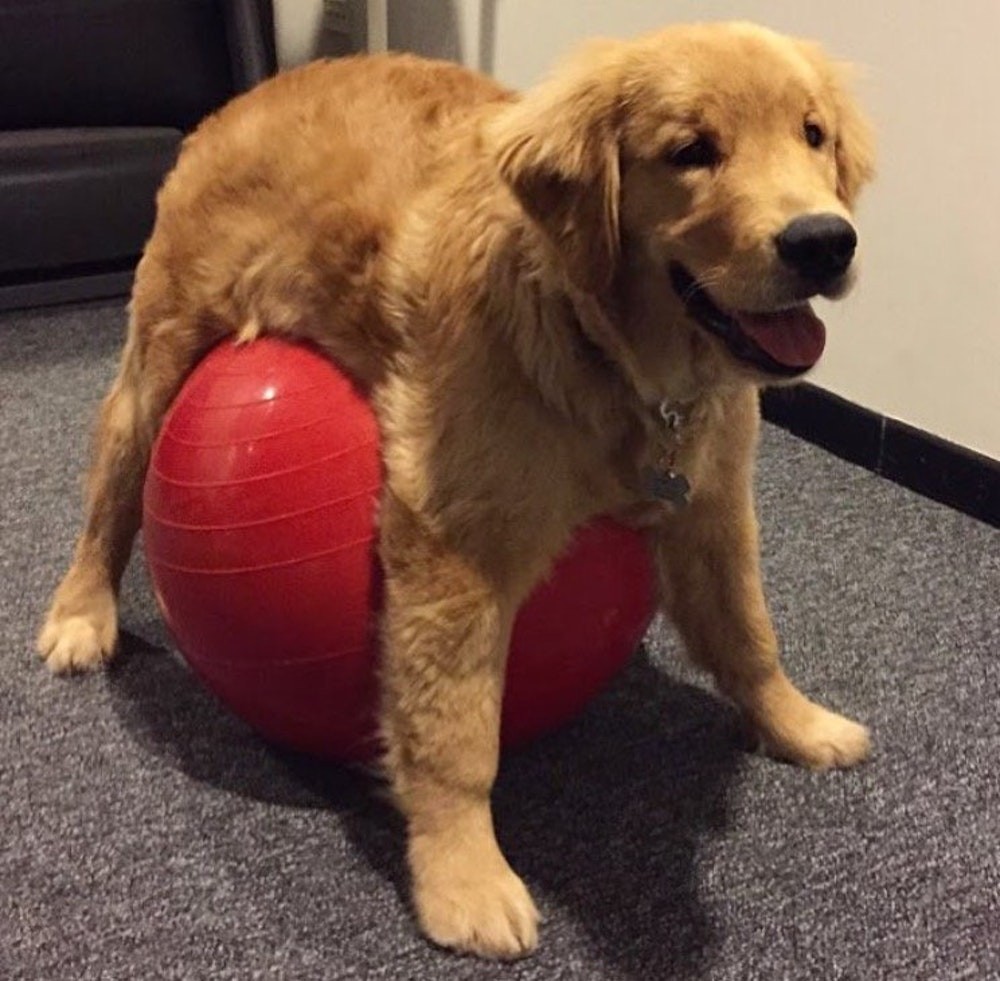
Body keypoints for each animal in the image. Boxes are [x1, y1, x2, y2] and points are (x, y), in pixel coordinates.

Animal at [41, 21, 876, 956]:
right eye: (692, 151)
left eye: (813, 135)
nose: (824, 241)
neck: (611, 357)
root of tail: (251, 96)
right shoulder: (455, 544)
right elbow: (457, 729)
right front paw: (463, 876)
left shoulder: (714, 503)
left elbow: (747, 633)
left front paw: (796, 722)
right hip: (158, 361)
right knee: (109, 499)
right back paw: (80, 614)